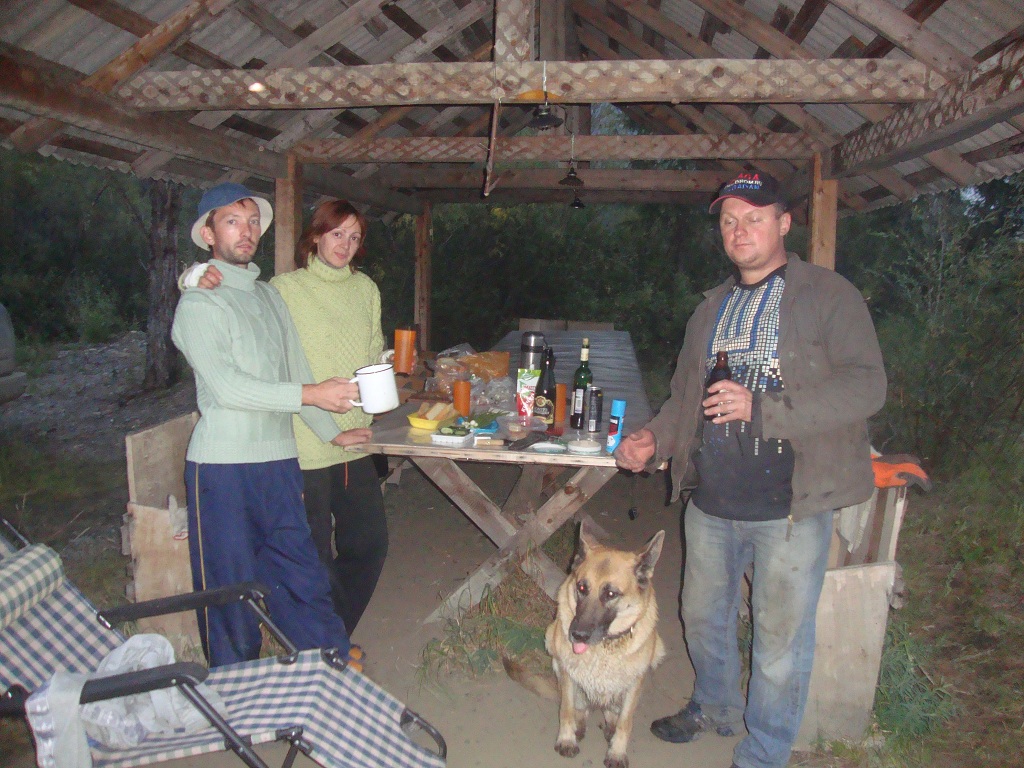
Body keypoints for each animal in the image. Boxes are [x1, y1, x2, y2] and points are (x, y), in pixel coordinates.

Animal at [504, 521, 665, 768]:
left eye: (610, 593)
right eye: (581, 588)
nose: (577, 635)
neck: (604, 647)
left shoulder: (634, 684)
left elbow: (625, 722)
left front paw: (617, 752)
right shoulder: (568, 674)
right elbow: (567, 711)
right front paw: (567, 739)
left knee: (611, 710)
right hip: (553, 647)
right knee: (580, 709)